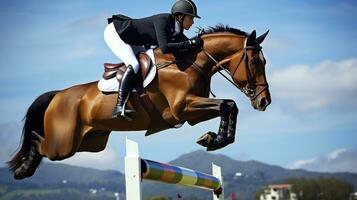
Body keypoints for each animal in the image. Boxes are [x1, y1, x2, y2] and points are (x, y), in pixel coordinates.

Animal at [7, 25, 270, 180]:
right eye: (255, 61)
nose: (264, 101)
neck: (190, 63)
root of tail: (58, 94)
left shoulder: (192, 114)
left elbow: (229, 105)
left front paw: (214, 139)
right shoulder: (183, 108)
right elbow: (227, 104)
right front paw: (214, 139)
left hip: (91, 142)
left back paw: (23, 167)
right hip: (63, 145)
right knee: (38, 141)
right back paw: (24, 167)